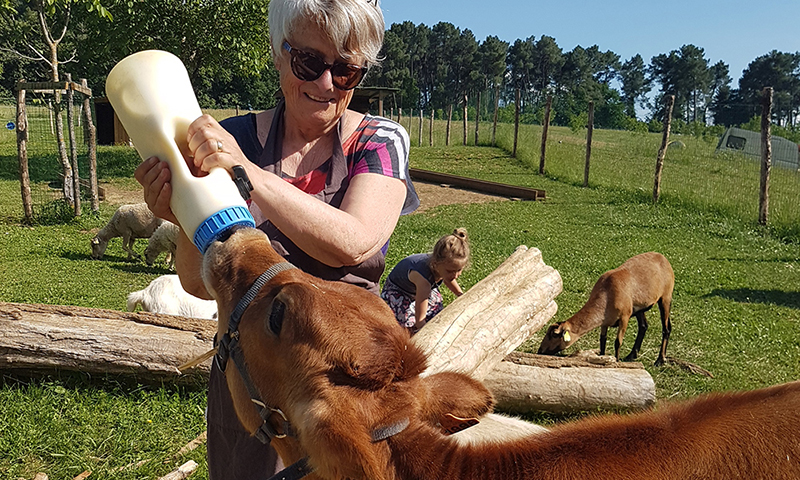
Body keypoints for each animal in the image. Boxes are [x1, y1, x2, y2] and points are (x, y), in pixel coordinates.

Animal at [536, 249, 676, 366]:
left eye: (554, 335)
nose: (540, 350)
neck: (606, 293)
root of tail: (662, 257)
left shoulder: (624, 317)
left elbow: (617, 342)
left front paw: (616, 361)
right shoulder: (605, 322)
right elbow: (602, 341)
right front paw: (602, 358)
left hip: (665, 297)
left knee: (666, 328)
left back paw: (660, 360)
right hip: (639, 307)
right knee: (643, 326)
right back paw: (631, 355)